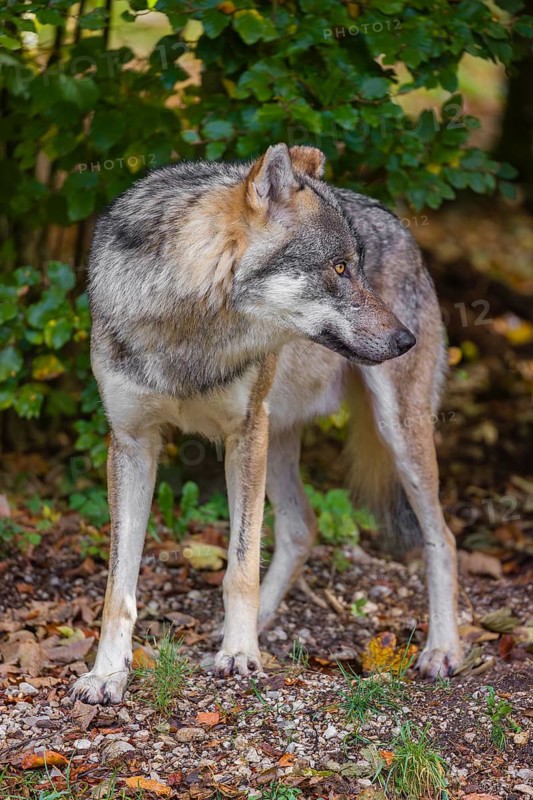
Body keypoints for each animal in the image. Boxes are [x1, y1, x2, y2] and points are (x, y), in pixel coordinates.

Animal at [71, 143, 461, 705]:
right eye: (339, 267)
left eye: (357, 267)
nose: (405, 339)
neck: (190, 332)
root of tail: (395, 220)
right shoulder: (131, 443)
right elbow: (117, 587)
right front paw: (106, 674)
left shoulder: (243, 434)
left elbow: (239, 569)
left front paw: (239, 655)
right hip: (276, 442)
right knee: (302, 528)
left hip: (395, 434)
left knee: (443, 539)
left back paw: (442, 650)